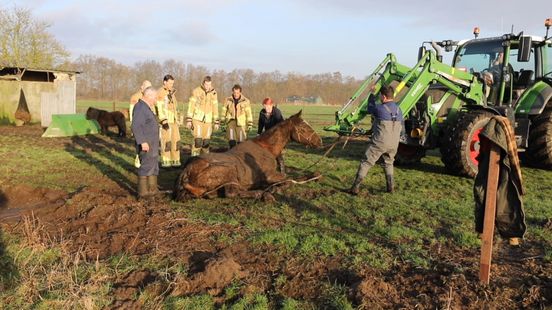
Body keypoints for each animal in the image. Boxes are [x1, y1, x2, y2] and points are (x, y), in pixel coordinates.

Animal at [175, 111, 322, 201]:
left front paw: (315, 175)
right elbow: (288, 180)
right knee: (232, 193)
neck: (267, 148)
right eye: (303, 128)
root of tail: (186, 172)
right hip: (229, 172)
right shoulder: (271, 175)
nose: (320, 141)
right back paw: (261, 193)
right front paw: (273, 189)